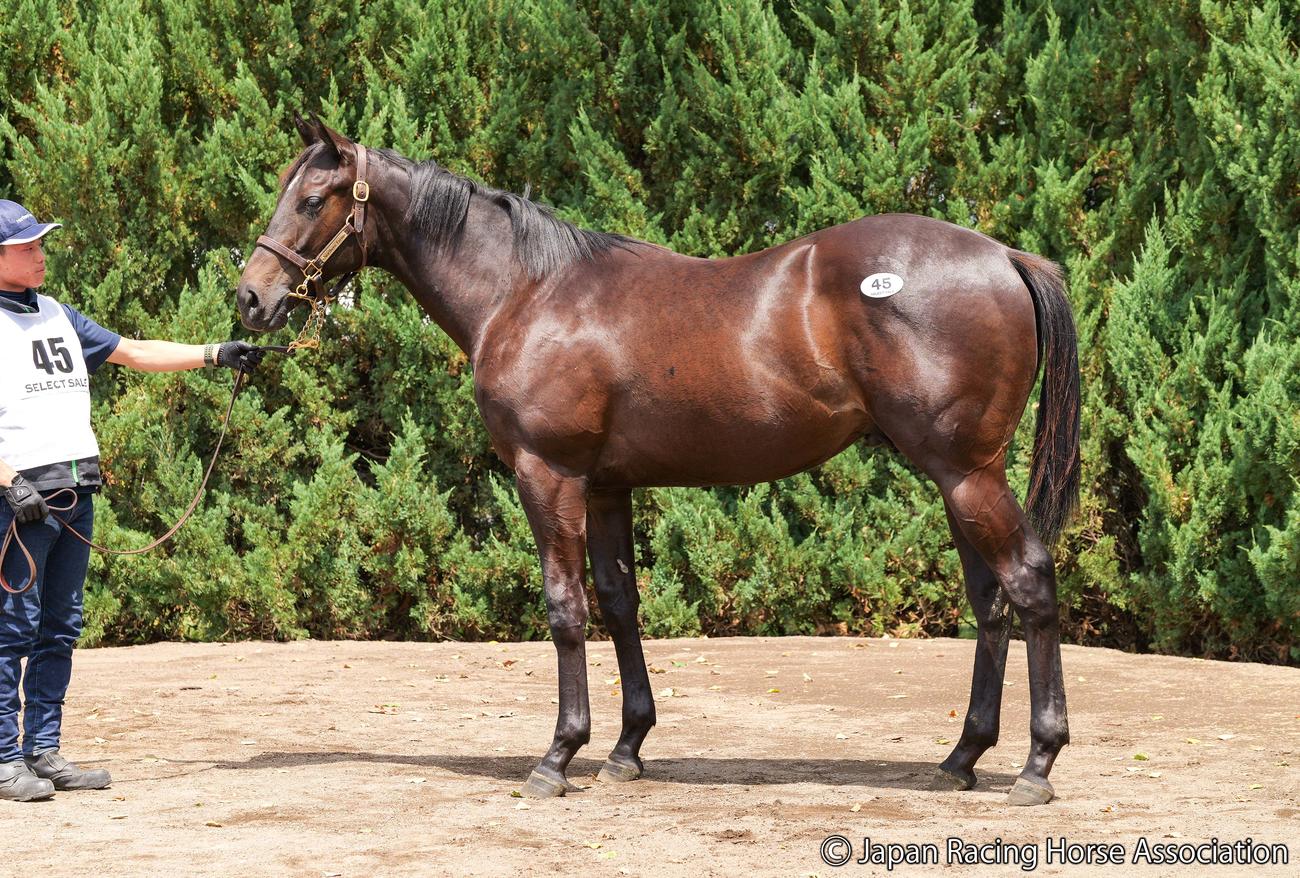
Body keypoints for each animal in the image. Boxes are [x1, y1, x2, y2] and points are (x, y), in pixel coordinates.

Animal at [237, 115, 1080, 806]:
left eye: (314, 199)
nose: (249, 299)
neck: (527, 291)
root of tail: (1004, 255)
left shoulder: (549, 475)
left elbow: (565, 608)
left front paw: (559, 755)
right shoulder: (607, 486)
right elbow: (618, 603)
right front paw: (625, 749)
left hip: (966, 472)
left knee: (1029, 580)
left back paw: (1038, 764)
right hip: (954, 476)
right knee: (991, 601)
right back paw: (962, 757)